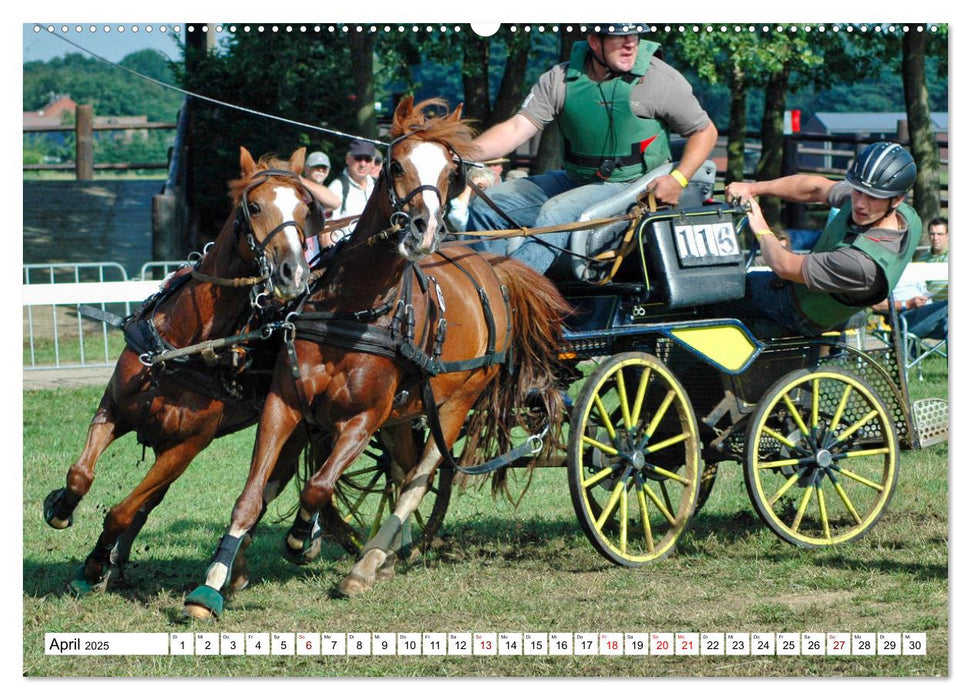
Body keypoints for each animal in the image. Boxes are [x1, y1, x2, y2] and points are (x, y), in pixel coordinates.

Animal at [44, 148, 316, 596]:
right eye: (256, 206)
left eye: (305, 209)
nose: (293, 273)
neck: (182, 346)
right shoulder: (114, 408)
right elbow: (82, 474)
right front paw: (61, 509)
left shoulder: (185, 448)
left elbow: (123, 510)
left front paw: (94, 564)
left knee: (274, 481)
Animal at [182, 97, 568, 616]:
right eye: (396, 164)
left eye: (451, 173)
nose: (424, 230)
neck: (353, 307)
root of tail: (490, 265)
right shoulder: (285, 403)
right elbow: (254, 494)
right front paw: (213, 584)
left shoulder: (364, 417)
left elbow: (318, 484)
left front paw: (302, 538)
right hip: (407, 413)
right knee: (401, 471)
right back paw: (385, 557)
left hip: (453, 405)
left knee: (419, 478)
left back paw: (363, 568)